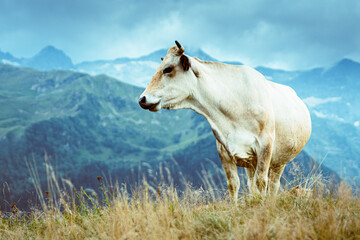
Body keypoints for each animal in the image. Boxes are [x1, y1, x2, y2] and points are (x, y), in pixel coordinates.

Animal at [139, 40, 310, 201]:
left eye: (168, 69)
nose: (142, 99)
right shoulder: (223, 149)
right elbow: (233, 184)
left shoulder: (265, 145)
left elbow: (261, 182)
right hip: (251, 162)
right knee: (251, 183)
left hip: (280, 160)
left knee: (273, 184)